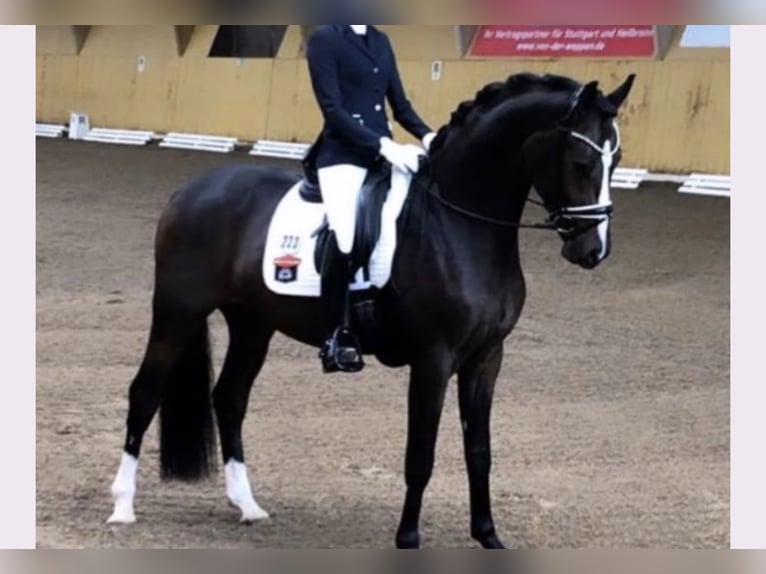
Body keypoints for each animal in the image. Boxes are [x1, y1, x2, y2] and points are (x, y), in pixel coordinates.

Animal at [106, 73, 636, 552]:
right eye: (582, 161)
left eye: (617, 160)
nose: (593, 250)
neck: (459, 224)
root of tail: (191, 190)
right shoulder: (433, 359)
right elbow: (420, 454)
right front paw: (408, 539)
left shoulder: (486, 359)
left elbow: (479, 451)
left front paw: (488, 535)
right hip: (177, 311)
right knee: (145, 393)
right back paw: (123, 507)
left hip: (253, 324)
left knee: (230, 398)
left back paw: (248, 507)